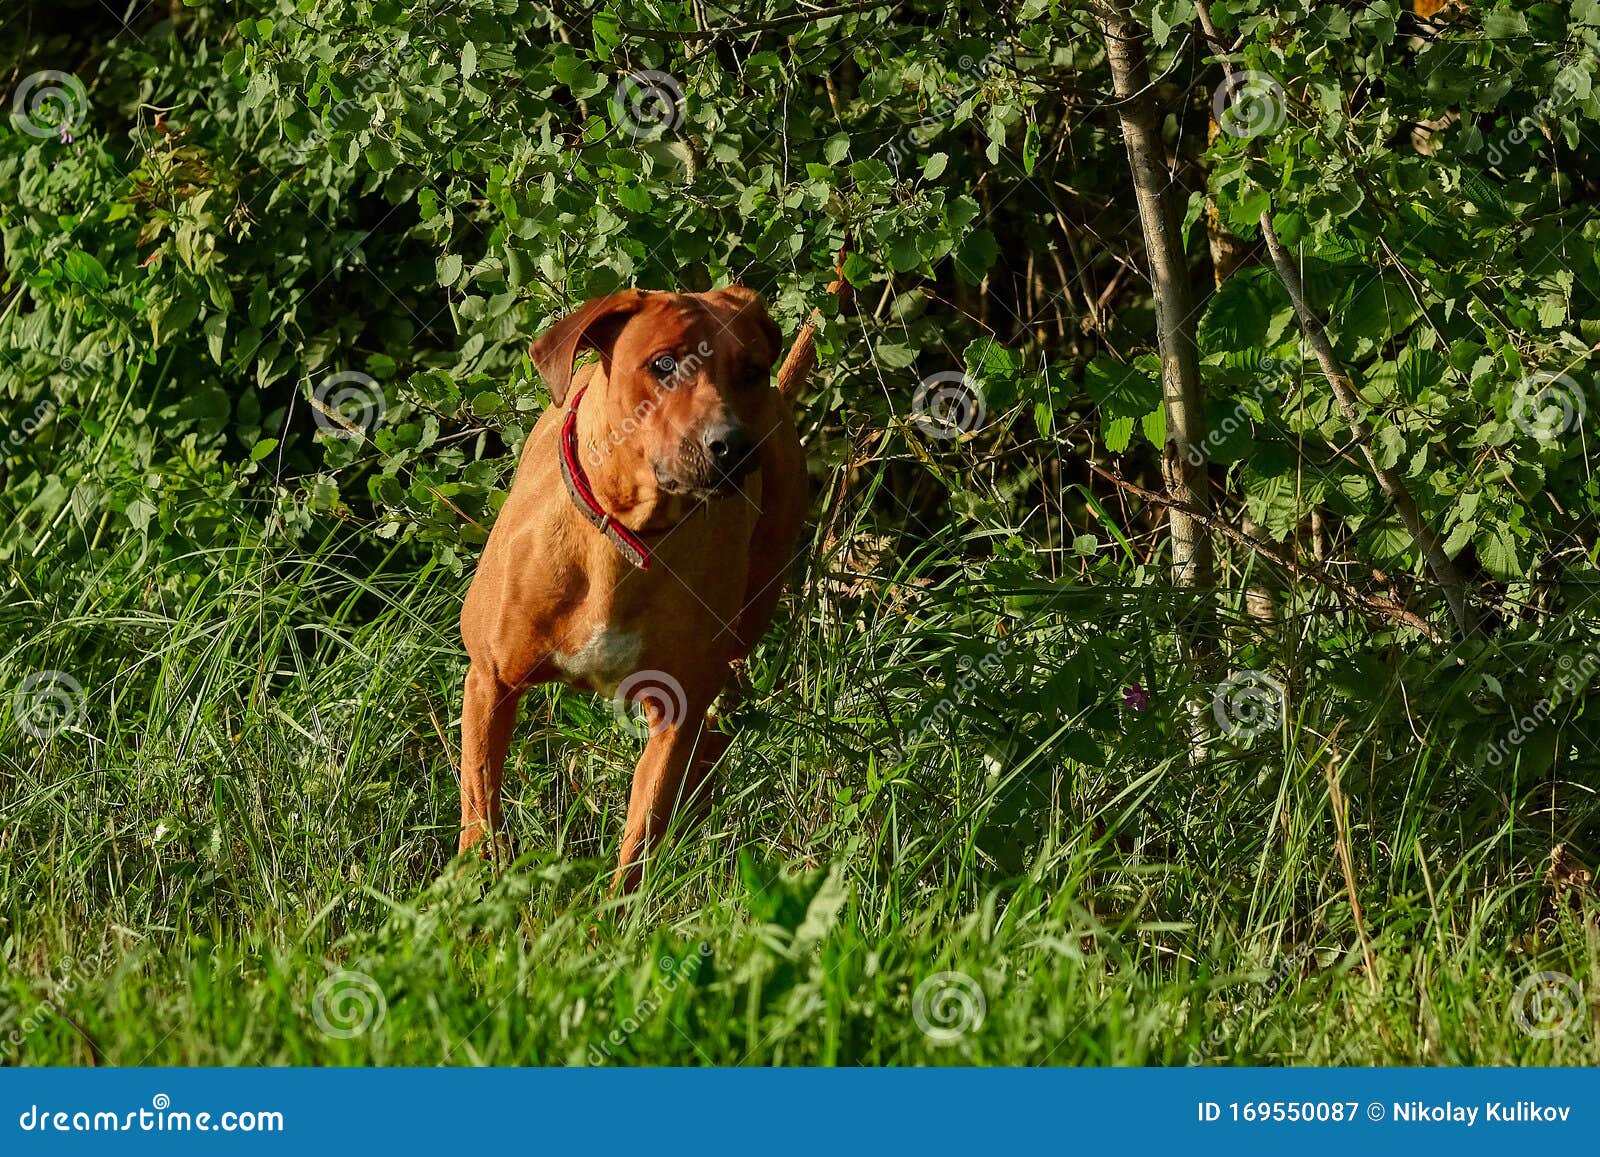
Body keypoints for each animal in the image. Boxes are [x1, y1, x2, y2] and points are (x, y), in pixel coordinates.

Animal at [460, 284, 812, 889]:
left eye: (751, 370)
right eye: (663, 364)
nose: (734, 445)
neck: (627, 537)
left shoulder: (677, 709)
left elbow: (641, 836)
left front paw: (619, 909)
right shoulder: (489, 681)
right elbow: (480, 813)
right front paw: (471, 892)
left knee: (716, 731)